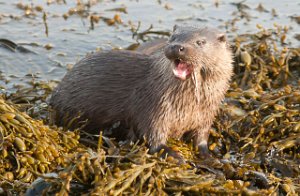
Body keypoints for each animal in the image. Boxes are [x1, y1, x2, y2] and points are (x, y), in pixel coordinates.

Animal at [49, 25, 233, 161]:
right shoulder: (154, 107)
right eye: (173, 37)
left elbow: (201, 137)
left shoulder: (207, 115)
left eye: (200, 42)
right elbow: (152, 136)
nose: (176, 47)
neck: (189, 106)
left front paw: (209, 156)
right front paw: (172, 154)